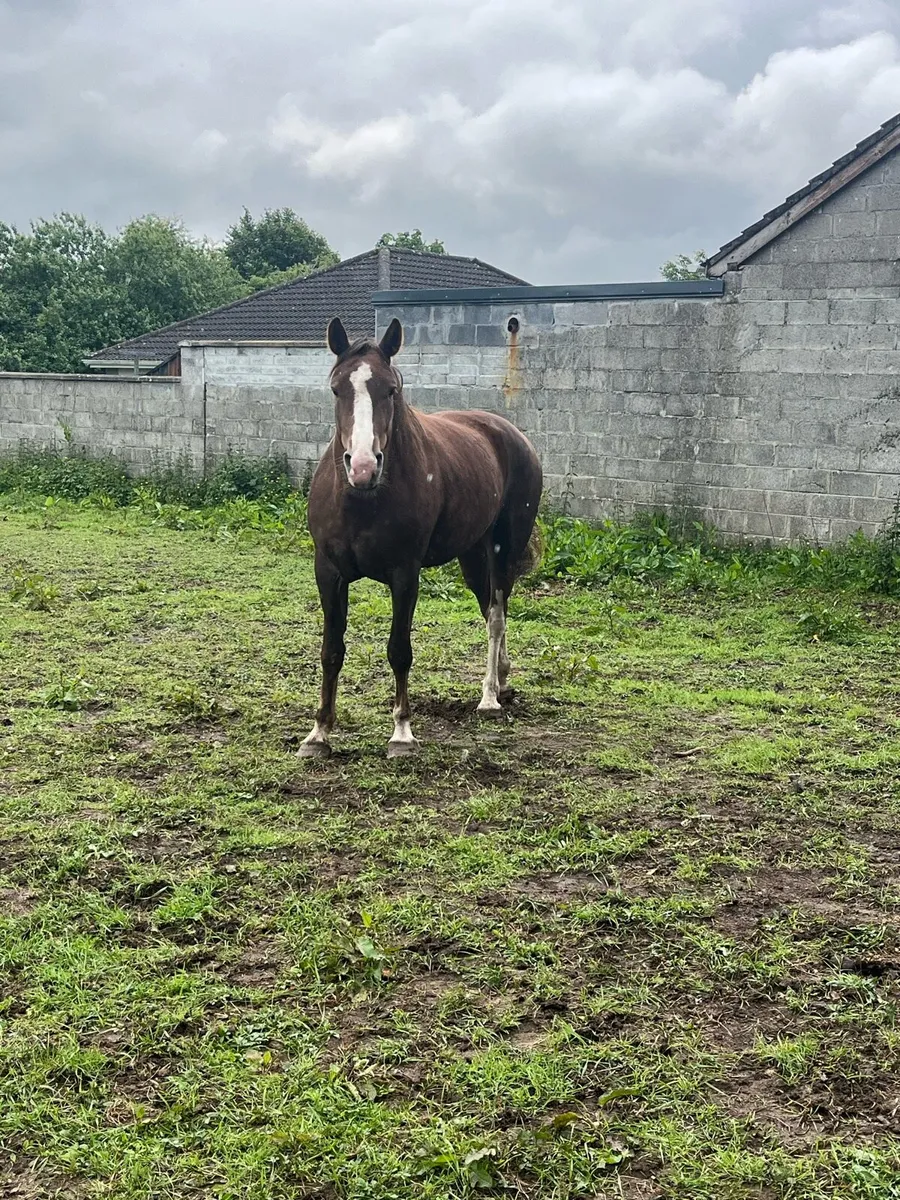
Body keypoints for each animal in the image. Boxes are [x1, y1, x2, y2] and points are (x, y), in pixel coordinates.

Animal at [300, 315, 543, 759]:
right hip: (472, 557)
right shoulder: (328, 572)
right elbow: (331, 650)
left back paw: (489, 697)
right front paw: (319, 733)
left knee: (497, 617)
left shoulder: (404, 575)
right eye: (337, 388)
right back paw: (501, 681)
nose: (363, 467)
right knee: (490, 610)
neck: (364, 500)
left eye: (391, 389)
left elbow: (399, 650)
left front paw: (401, 733)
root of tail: (512, 434)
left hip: (503, 552)